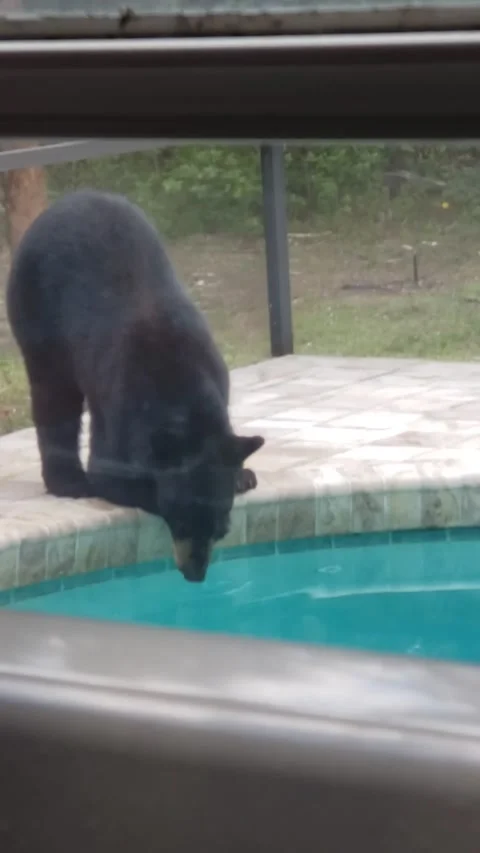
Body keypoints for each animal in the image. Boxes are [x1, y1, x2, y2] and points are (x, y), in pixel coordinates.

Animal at [6, 189, 264, 583]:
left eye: (220, 528)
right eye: (182, 521)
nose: (195, 573)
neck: (183, 391)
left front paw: (243, 474)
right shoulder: (123, 398)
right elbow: (113, 473)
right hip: (37, 308)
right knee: (54, 396)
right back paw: (69, 481)